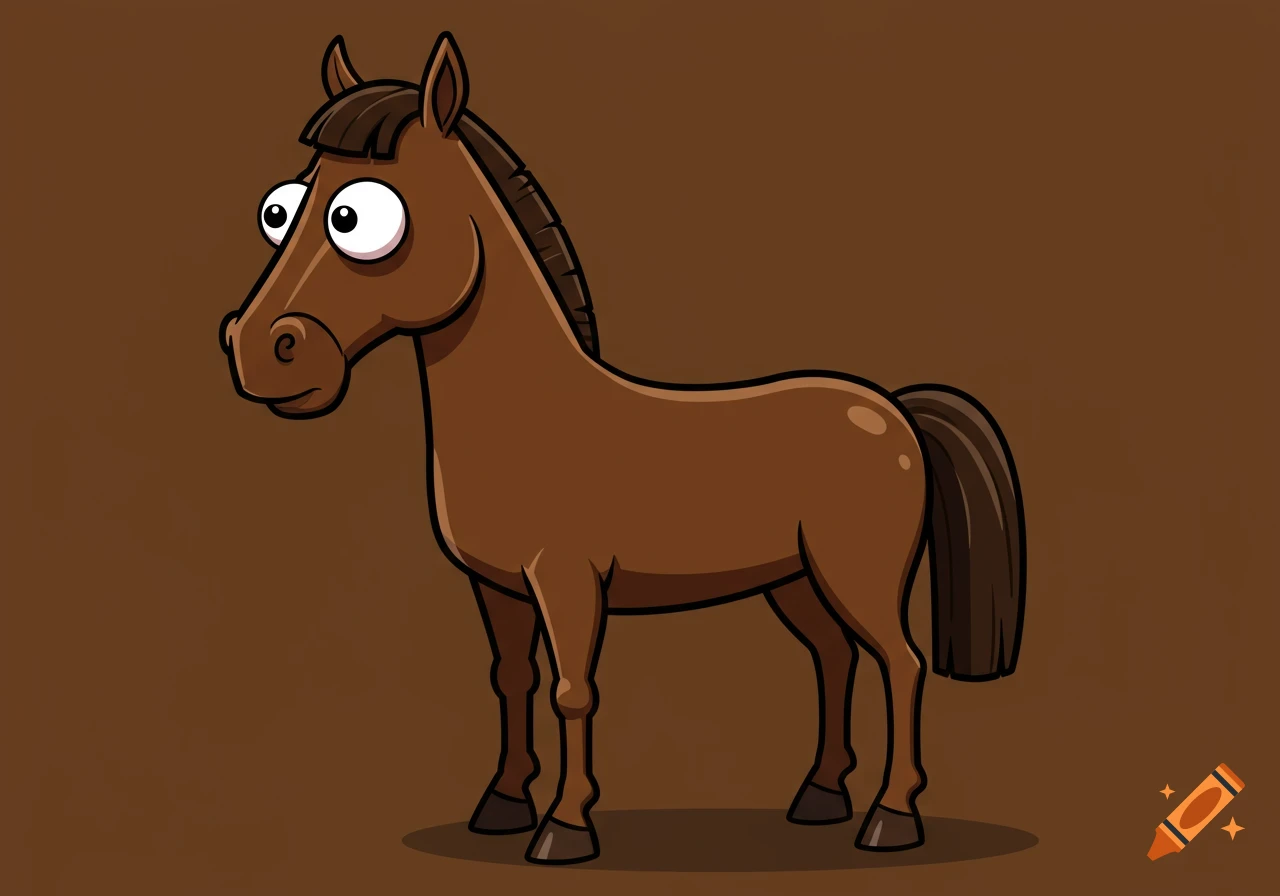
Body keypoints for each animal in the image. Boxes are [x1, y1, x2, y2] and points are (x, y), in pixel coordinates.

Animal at [219, 32, 1027, 865]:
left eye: (357, 218)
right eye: (279, 211)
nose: (259, 350)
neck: (531, 412)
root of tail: (890, 408)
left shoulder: (568, 582)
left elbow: (573, 690)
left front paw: (565, 827)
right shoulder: (497, 588)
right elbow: (512, 677)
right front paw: (502, 805)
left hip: (858, 577)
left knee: (901, 662)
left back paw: (890, 818)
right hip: (797, 582)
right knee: (835, 659)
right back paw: (819, 796)